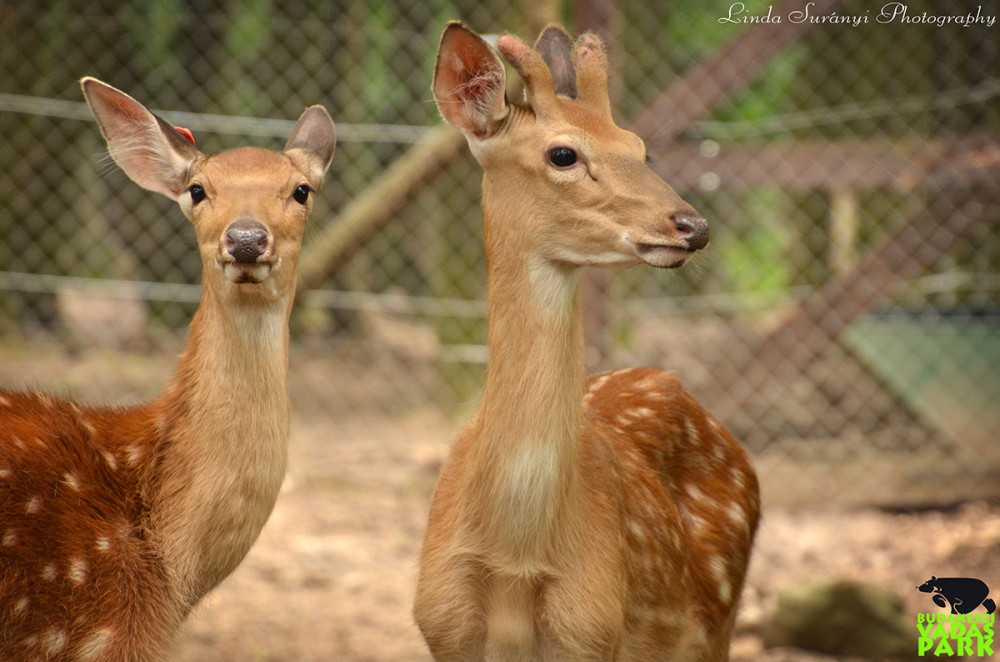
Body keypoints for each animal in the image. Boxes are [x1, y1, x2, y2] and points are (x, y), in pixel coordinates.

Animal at [412, 22, 756, 662]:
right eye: (563, 154)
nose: (693, 226)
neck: (516, 560)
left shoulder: (592, 630)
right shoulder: (441, 626)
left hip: (718, 619)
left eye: (640, 147)